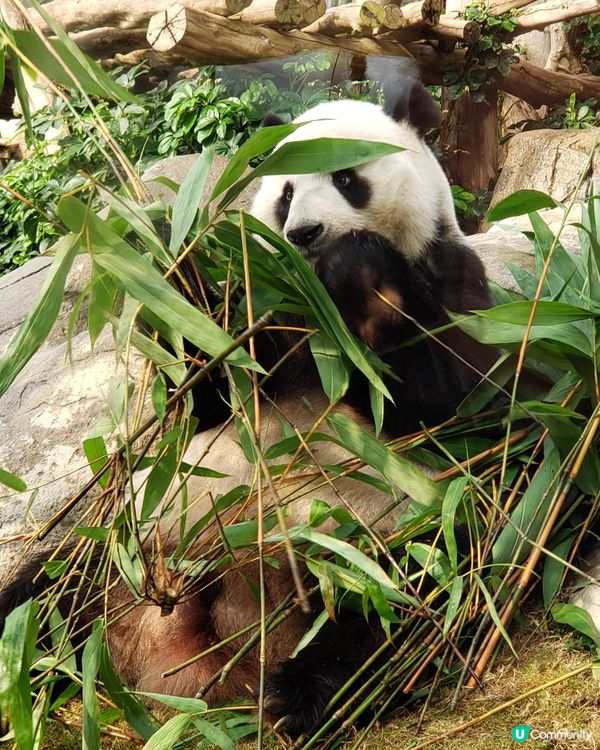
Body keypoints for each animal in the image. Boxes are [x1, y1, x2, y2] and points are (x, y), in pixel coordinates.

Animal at [0, 79, 496, 736]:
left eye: (346, 177)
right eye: (285, 193)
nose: (305, 233)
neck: (315, 302)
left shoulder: (454, 280)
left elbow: (450, 409)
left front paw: (363, 271)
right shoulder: (261, 314)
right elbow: (198, 394)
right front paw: (162, 246)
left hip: (378, 544)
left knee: (392, 604)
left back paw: (298, 694)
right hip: (123, 543)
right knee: (38, 593)